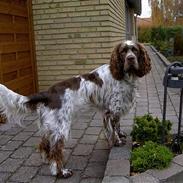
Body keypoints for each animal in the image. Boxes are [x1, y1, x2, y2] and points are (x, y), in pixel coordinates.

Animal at [0, 40, 152, 177]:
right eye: (123, 52)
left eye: (135, 50)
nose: (130, 59)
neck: (124, 75)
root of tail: (48, 93)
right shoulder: (111, 110)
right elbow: (113, 128)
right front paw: (118, 141)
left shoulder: (114, 109)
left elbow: (117, 125)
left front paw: (120, 135)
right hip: (61, 127)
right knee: (55, 150)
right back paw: (60, 172)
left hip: (50, 126)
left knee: (44, 144)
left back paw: (47, 160)